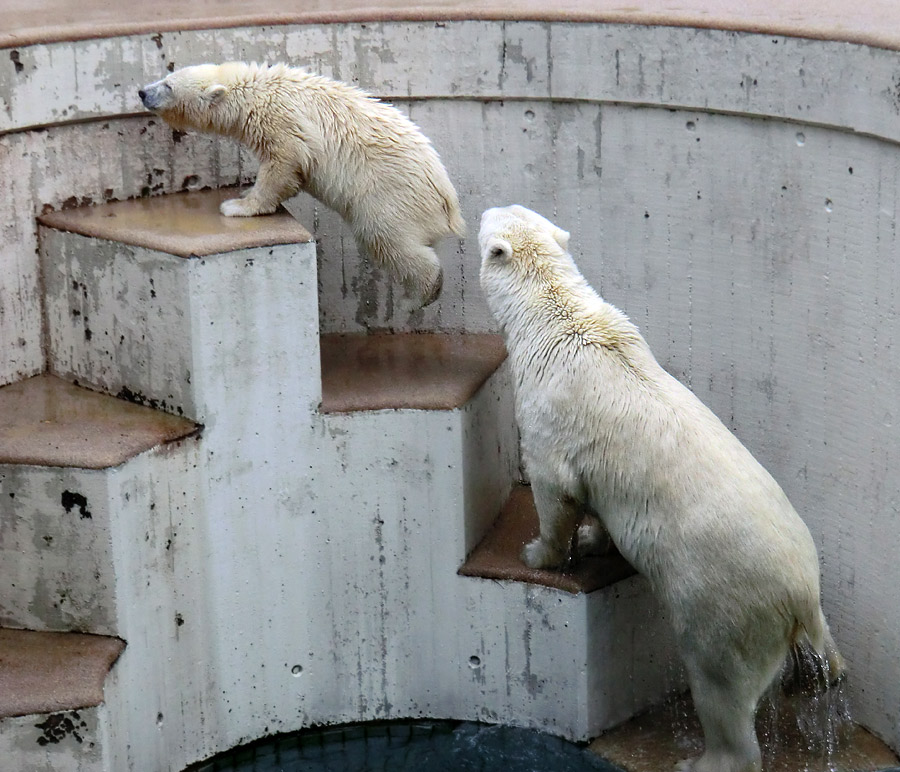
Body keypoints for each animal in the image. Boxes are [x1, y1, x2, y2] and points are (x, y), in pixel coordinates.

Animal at [142, 62, 464, 308]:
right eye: (165, 76)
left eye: (168, 85)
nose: (142, 91)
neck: (252, 89)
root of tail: (449, 205)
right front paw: (245, 192)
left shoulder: (282, 120)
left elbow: (284, 163)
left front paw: (239, 205)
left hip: (391, 195)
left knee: (386, 238)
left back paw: (424, 292)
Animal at [482, 205, 840, 772]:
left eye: (489, 217)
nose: (482, 205)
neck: (557, 321)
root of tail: (803, 593)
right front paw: (594, 540)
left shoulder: (551, 409)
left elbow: (555, 487)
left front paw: (539, 552)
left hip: (727, 607)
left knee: (720, 685)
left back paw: (701, 759)